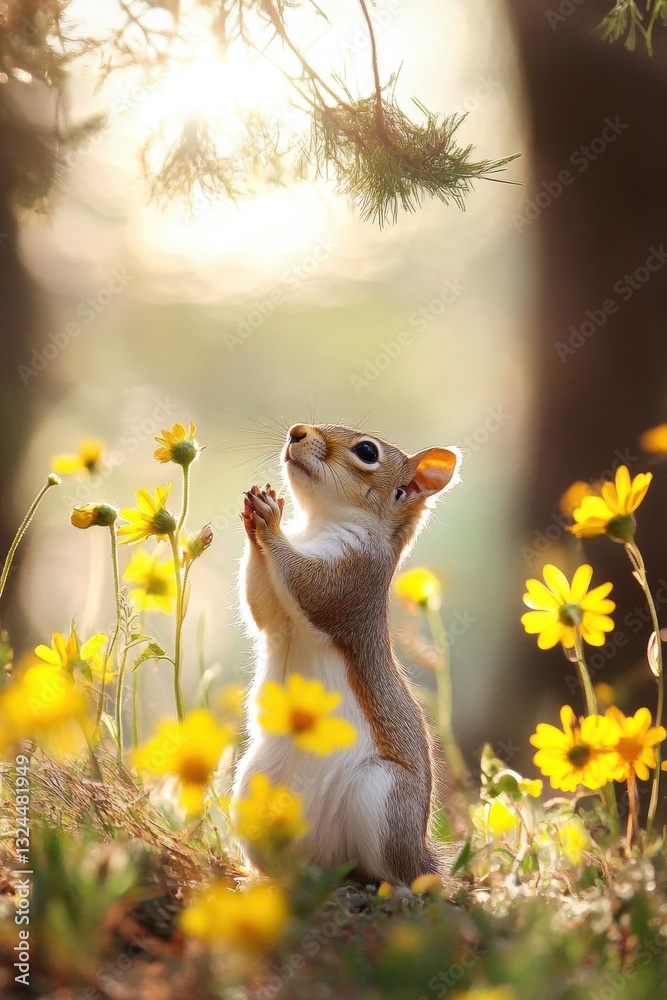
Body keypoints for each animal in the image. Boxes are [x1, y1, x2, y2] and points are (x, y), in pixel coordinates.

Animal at [231, 422, 462, 887]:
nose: (296, 431)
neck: (319, 525)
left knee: (394, 872)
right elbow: (261, 605)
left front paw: (270, 520)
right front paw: (256, 513)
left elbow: (307, 586)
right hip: (252, 788)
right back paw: (265, 879)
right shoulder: (277, 616)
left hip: (384, 798)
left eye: (367, 452)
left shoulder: (351, 581)